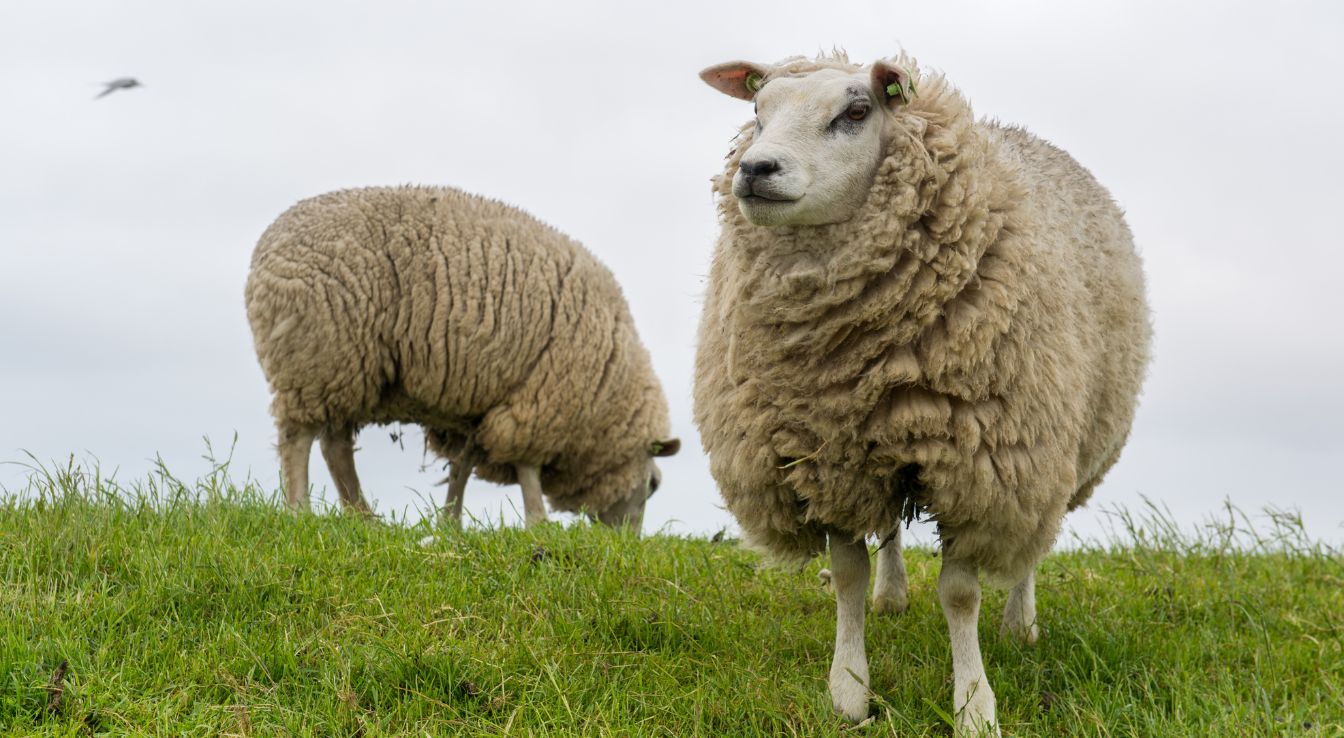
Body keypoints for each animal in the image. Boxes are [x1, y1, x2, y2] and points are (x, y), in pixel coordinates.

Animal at [245, 185, 680, 529]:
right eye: (653, 486)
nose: (626, 542)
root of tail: (262, 253)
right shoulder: (539, 401)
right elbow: (528, 468)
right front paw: (537, 523)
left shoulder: (479, 406)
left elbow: (463, 466)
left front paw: (450, 522)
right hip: (315, 355)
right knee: (297, 437)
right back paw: (299, 509)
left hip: (346, 368)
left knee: (335, 446)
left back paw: (362, 516)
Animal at [693, 52, 1150, 734]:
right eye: (757, 109)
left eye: (857, 111)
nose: (754, 169)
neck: (849, 355)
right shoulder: (828, 456)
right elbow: (848, 576)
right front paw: (850, 690)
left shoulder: (980, 463)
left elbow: (960, 595)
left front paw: (974, 705)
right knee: (891, 530)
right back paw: (893, 594)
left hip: (1046, 450)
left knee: (1029, 545)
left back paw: (1020, 625)